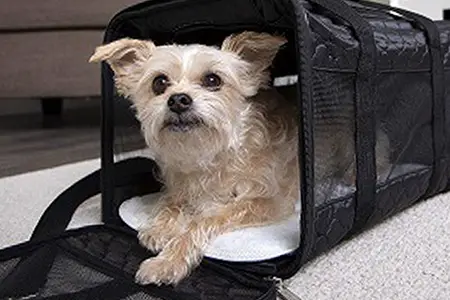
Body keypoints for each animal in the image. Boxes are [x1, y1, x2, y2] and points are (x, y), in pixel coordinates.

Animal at [89, 30, 390, 286]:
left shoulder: (267, 201)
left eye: (213, 80)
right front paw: (159, 229)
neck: (212, 154)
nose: (178, 100)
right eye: (159, 82)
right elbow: (170, 204)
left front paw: (166, 262)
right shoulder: (179, 187)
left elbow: (202, 220)